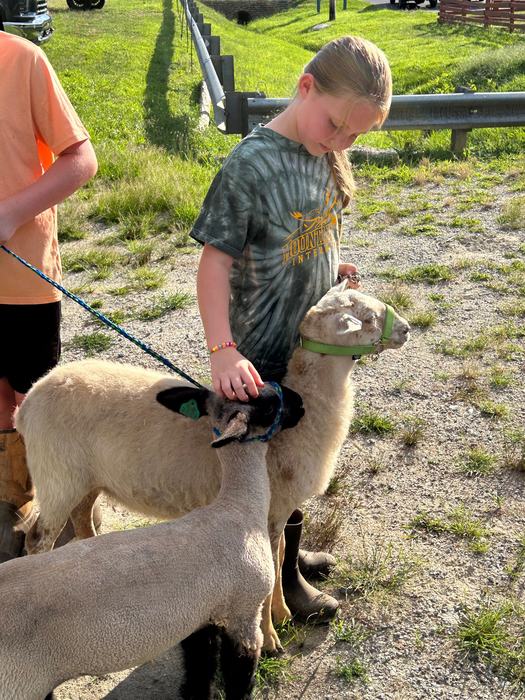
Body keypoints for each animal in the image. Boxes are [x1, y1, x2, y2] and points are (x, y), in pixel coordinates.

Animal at [0, 382, 304, 700]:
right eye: (268, 404)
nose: (300, 404)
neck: (237, 505)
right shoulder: (244, 613)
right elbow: (239, 679)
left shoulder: (201, 616)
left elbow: (199, 667)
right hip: (18, 683)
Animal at [17, 284, 410, 651]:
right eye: (369, 318)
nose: (406, 329)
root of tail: (28, 402)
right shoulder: (267, 511)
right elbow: (270, 567)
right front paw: (270, 637)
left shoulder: (280, 508)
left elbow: (284, 551)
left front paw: (283, 614)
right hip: (57, 475)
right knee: (38, 537)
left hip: (86, 478)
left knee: (82, 517)